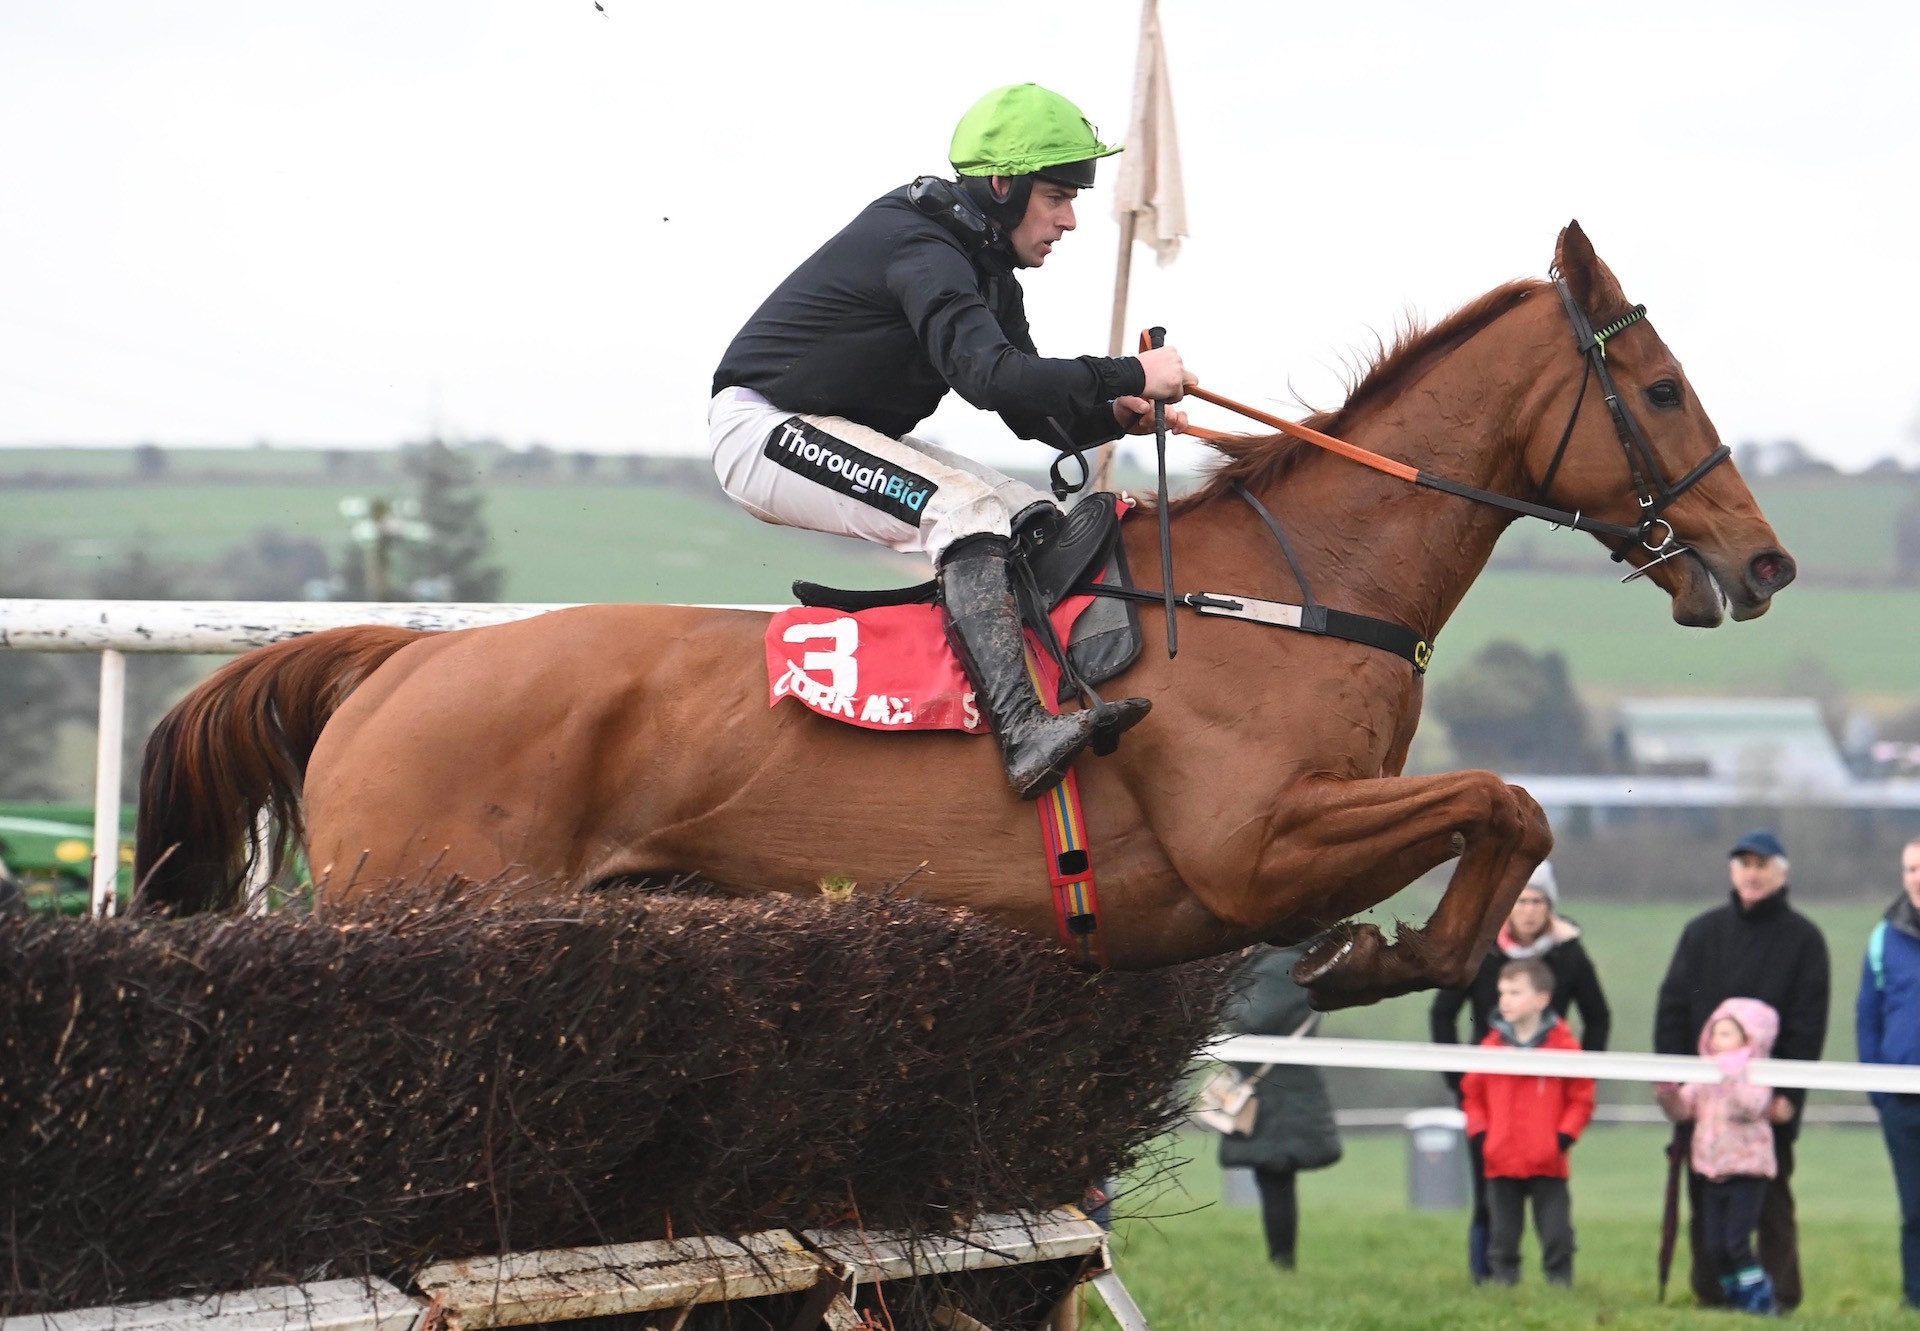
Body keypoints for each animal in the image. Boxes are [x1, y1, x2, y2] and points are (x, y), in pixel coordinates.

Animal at [139, 220, 1797, 1006]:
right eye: (1661, 390)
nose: (1766, 562)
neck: (1298, 590)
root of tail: (394, 668)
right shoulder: (1253, 846)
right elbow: (1505, 797)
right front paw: (1384, 954)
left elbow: (1506, 812)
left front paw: (1386, 955)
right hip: (413, 908)